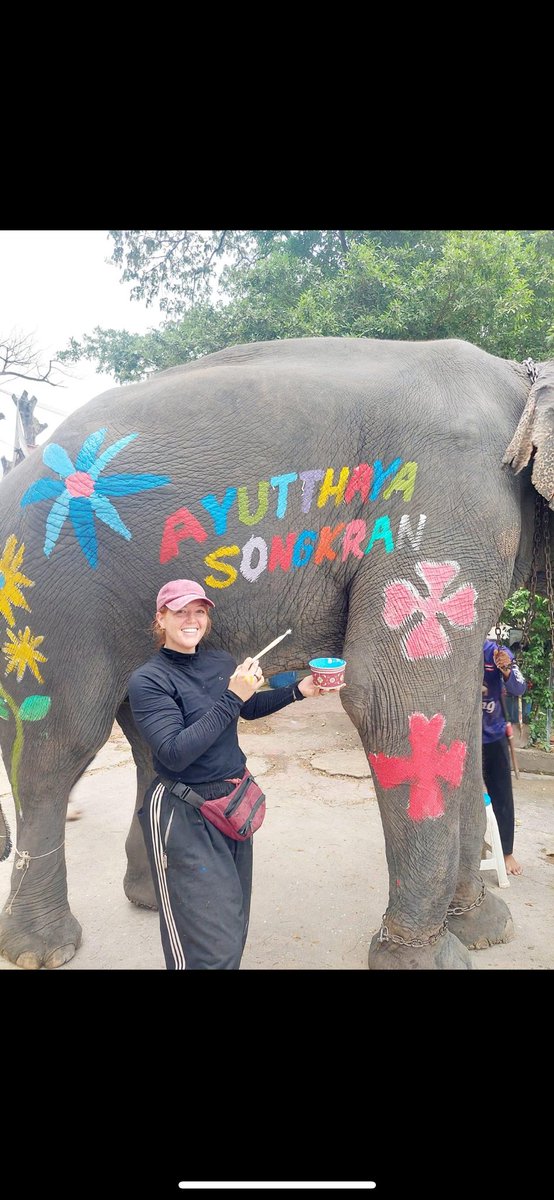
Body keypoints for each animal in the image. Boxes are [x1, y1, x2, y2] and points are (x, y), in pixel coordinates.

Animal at [0, 336, 552, 970]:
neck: (523, 380)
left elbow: (453, 714)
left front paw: (485, 928)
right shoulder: (445, 506)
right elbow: (393, 700)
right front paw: (429, 958)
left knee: (143, 744)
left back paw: (149, 900)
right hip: (46, 604)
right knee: (55, 747)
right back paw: (42, 949)